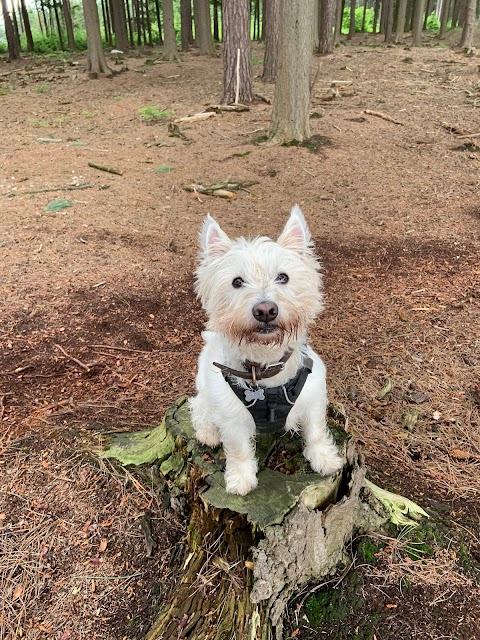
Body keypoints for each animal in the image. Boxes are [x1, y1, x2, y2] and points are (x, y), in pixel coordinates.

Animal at [189, 205, 344, 496]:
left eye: (283, 277)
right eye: (237, 282)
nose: (265, 310)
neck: (266, 365)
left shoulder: (313, 398)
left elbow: (316, 431)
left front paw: (325, 459)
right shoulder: (231, 415)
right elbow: (238, 448)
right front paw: (240, 480)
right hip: (207, 391)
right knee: (200, 408)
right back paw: (208, 434)